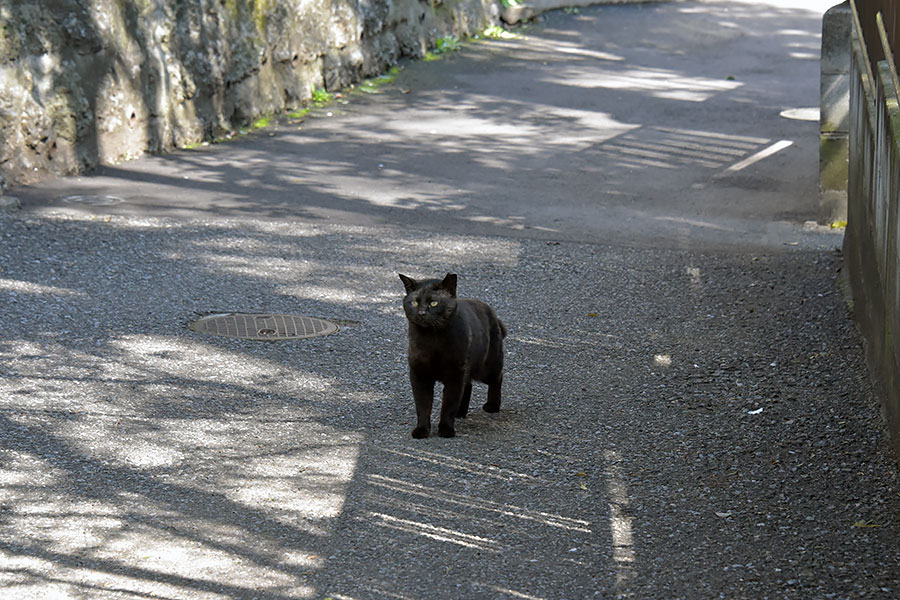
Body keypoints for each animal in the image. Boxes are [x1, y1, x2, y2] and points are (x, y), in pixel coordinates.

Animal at [400, 274, 506, 438]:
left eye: (434, 303)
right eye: (414, 302)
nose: (421, 313)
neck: (433, 339)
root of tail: (491, 311)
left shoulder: (455, 372)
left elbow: (449, 403)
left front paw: (446, 429)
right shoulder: (419, 374)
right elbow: (422, 405)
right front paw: (422, 430)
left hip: (487, 367)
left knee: (497, 378)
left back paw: (492, 406)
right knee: (468, 385)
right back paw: (460, 412)